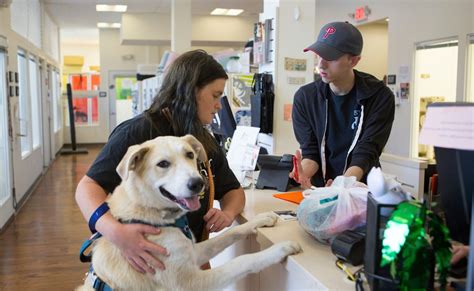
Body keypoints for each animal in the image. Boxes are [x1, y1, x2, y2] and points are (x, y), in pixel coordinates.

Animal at [77, 135, 300, 291]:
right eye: (163, 164)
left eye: (190, 155)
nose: (198, 183)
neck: (152, 214)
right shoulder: (189, 282)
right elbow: (243, 261)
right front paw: (281, 248)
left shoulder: (193, 252)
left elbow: (231, 232)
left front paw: (262, 219)